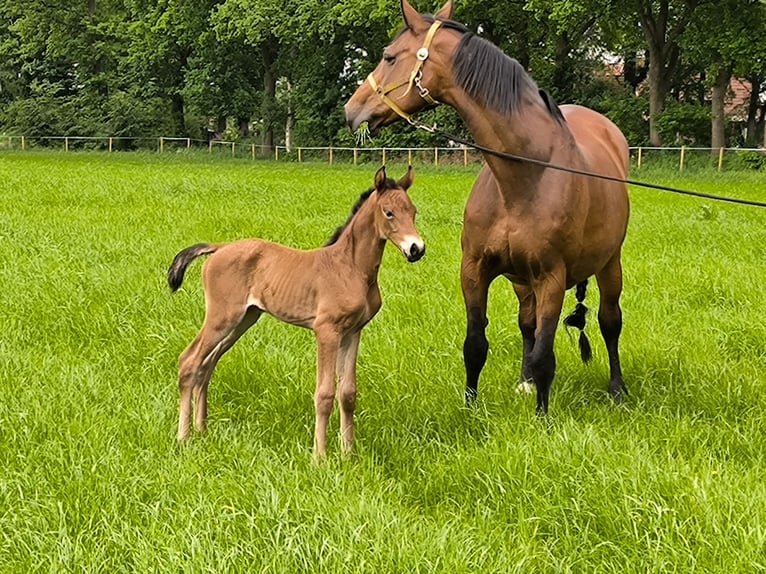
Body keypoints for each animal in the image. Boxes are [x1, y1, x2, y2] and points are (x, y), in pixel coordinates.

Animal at [169, 166, 428, 460]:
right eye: (388, 212)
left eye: (413, 211)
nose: (416, 249)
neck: (350, 268)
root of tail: (219, 247)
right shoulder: (326, 331)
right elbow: (324, 394)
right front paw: (320, 457)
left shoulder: (353, 332)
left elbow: (348, 393)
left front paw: (348, 454)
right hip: (221, 317)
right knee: (189, 361)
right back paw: (184, 437)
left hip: (244, 319)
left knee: (208, 363)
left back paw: (202, 430)